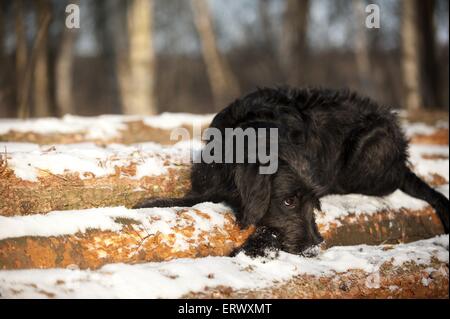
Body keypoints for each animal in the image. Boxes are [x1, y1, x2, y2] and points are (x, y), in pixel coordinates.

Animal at [134, 87, 450, 258]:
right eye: (288, 201)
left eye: (314, 203)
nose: (314, 247)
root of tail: (401, 157)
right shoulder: (206, 184)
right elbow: (181, 199)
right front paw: (145, 205)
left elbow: (267, 230)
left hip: (369, 148)